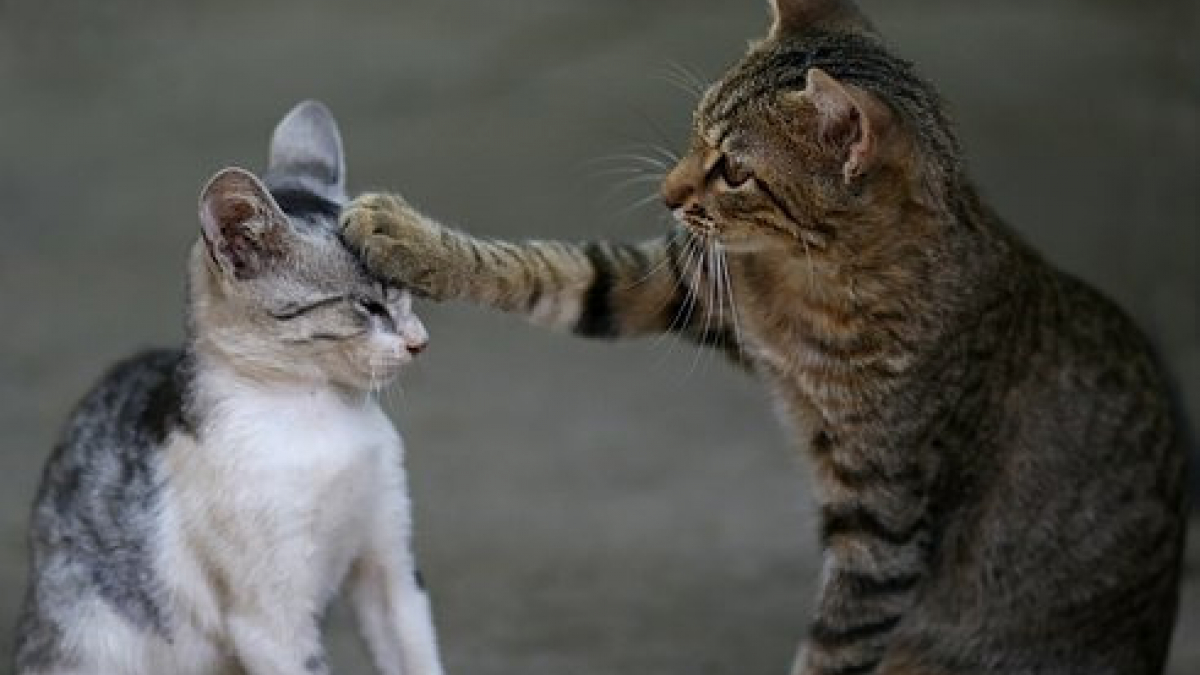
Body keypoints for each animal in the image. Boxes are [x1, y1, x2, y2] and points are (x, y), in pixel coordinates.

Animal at [12, 99, 446, 672]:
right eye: (368, 305)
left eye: (404, 292)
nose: (420, 341)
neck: (322, 416)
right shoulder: (271, 620)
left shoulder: (391, 569)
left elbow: (419, 656)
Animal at [340, 1, 1190, 672]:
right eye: (694, 131)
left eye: (735, 171)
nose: (667, 192)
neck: (811, 284)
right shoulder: (685, 285)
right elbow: (546, 268)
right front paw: (409, 239)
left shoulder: (883, 522)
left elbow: (835, 645)